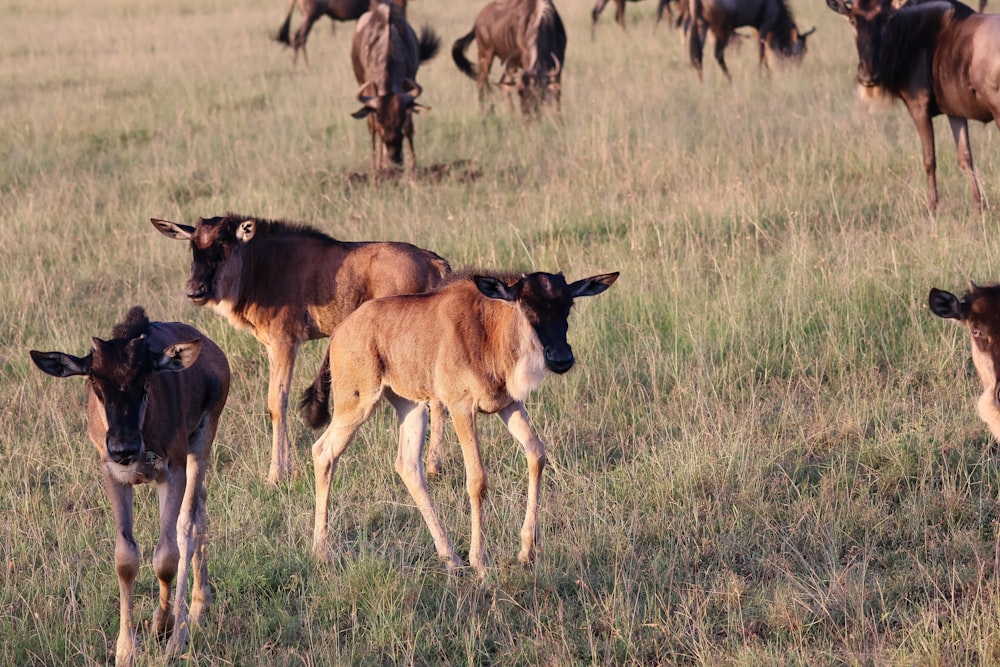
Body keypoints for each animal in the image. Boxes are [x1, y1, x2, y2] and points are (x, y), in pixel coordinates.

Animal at [30, 308, 229, 667]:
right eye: (94, 381)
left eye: (145, 379)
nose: (124, 447)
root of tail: (212, 351)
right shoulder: (114, 476)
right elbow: (126, 558)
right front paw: (126, 648)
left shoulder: (172, 472)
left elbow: (167, 555)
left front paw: (162, 627)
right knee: (201, 509)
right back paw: (198, 608)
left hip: (202, 442)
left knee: (189, 525)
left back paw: (180, 631)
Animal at [151, 217, 450, 482]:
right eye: (193, 245)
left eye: (223, 244)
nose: (195, 291)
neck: (260, 265)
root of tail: (435, 263)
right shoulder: (271, 347)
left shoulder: (286, 341)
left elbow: (277, 403)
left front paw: (277, 475)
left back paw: (433, 467)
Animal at [304, 268, 616, 576]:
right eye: (526, 305)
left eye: (568, 305)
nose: (561, 358)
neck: (489, 331)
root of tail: (339, 333)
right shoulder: (461, 408)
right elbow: (477, 479)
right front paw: (480, 561)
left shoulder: (509, 405)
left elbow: (536, 454)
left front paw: (526, 551)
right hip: (357, 405)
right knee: (323, 452)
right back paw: (321, 551)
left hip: (411, 406)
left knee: (408, 466)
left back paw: (450, 556)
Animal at [824, 0, 1000, 211]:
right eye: (852, 20)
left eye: (884, 19)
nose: (868, 76)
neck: (906, 33)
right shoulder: (955, 112)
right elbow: (965, 158)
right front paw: (979, 207)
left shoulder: (919, 108)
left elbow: (929, 160)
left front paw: (931, 208)